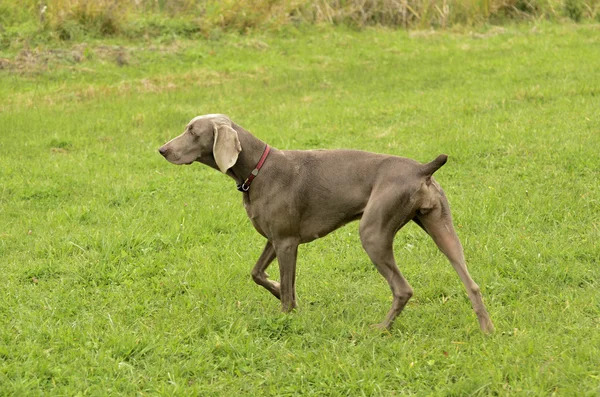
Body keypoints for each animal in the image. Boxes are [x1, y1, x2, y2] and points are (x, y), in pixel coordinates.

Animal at [157, 113, 494, 332]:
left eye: (192, 131)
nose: (162, 150)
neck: (257, 169)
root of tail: (421, 169)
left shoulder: (287, 242)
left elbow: (288, 289)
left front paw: (286, 314)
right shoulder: (274, 238)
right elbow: (256, 273)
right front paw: (278, 290)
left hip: (373, 232)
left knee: (403, 289)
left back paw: (380, 329)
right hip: (441, 226)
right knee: (472, 283)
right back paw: (487, 329)